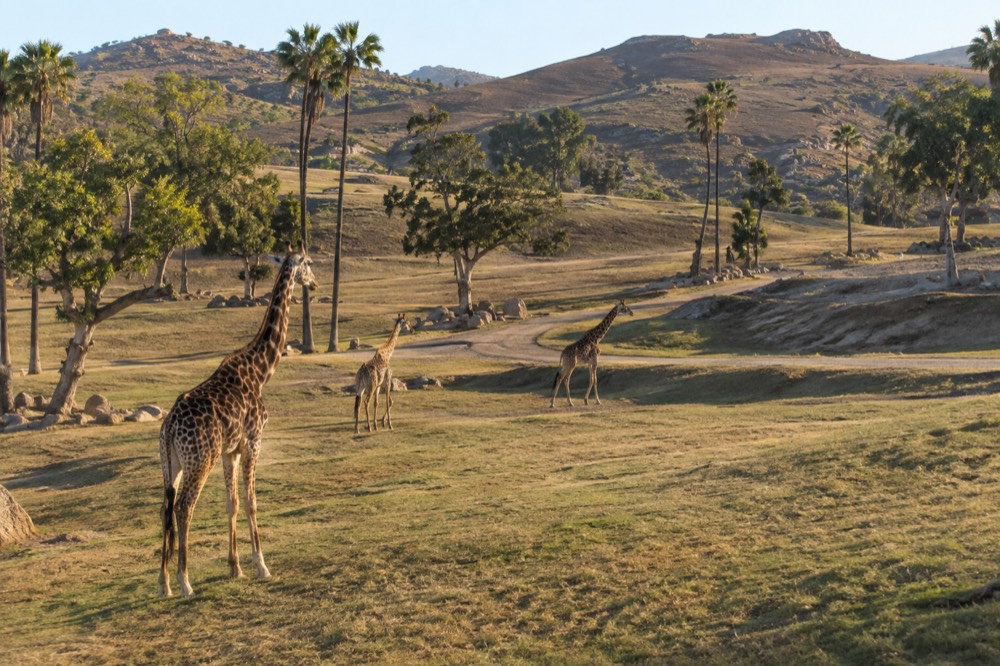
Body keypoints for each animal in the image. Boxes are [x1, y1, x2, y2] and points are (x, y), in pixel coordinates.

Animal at [157, 249, 317, 598]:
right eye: (309, 263)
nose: (314, 284)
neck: (261, 371)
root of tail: (170, 426)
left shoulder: (230, 451)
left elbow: (231, 503)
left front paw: (235, 568)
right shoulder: (253, 440)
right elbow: (250, 501)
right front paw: (261, 566)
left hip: (170, 463)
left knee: (165, 508)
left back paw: (164, 584)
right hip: (199, 460)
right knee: (184, 508)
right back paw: (185, 582)